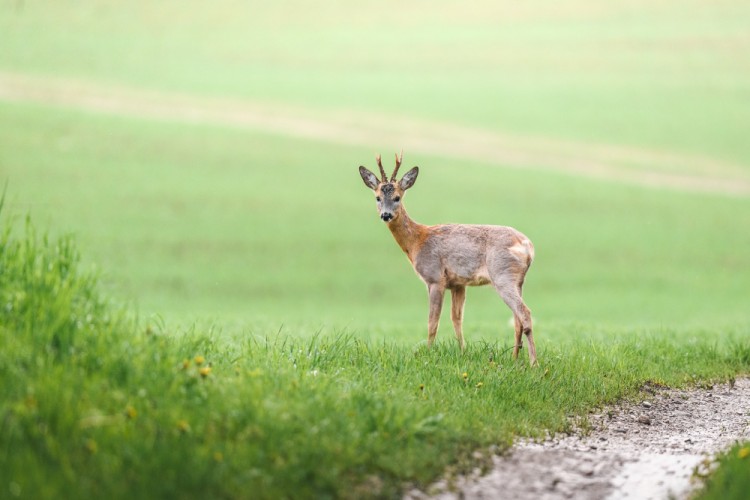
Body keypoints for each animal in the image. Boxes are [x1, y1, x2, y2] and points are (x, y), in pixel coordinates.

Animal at [360, 151, 540, 364]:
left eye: (397, 197)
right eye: (378, 197)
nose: (386, 215)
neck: (417, 241)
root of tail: (528, 246)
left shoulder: (435, 278)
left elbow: (433, 322)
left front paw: (428, 353)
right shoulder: (458, 284)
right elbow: (457, 320)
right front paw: (463, 351)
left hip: (502, 275)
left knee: (525, 313)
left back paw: (534, 363)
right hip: (518, 281)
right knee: (517, 320)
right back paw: (514, 358)